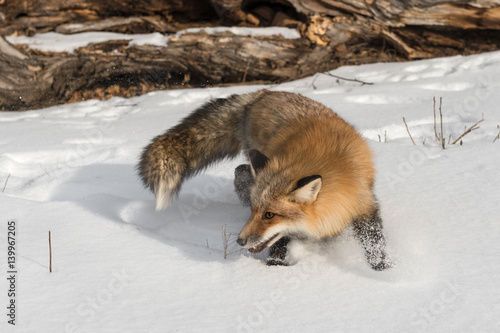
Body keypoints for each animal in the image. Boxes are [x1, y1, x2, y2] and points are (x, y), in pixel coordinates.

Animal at [137, 89, 390, 270]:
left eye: (270, 215)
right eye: (254, 211)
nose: (239, 241)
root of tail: (263, 92)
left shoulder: (363, 204)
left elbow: (375, 241)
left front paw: (383, 270)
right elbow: (279, 241)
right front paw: (275, 265)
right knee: (240, 172)